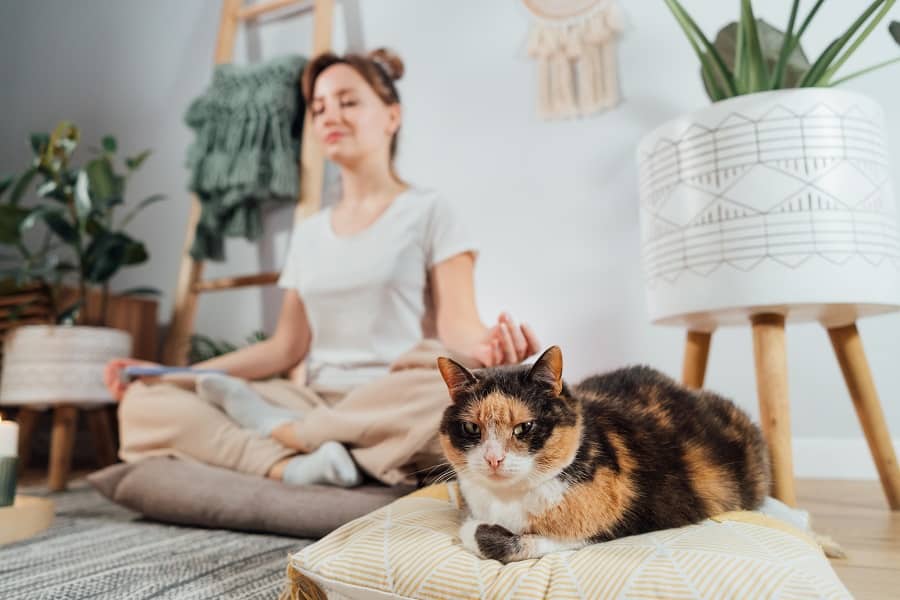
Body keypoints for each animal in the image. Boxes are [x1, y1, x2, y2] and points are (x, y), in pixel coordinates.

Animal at [436, 344, 768, 564]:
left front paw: (470, 529)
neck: (505, 500)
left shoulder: (619, 522)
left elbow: (512, 541)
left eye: (524, 427)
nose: (493, 459)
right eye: (471, 427)